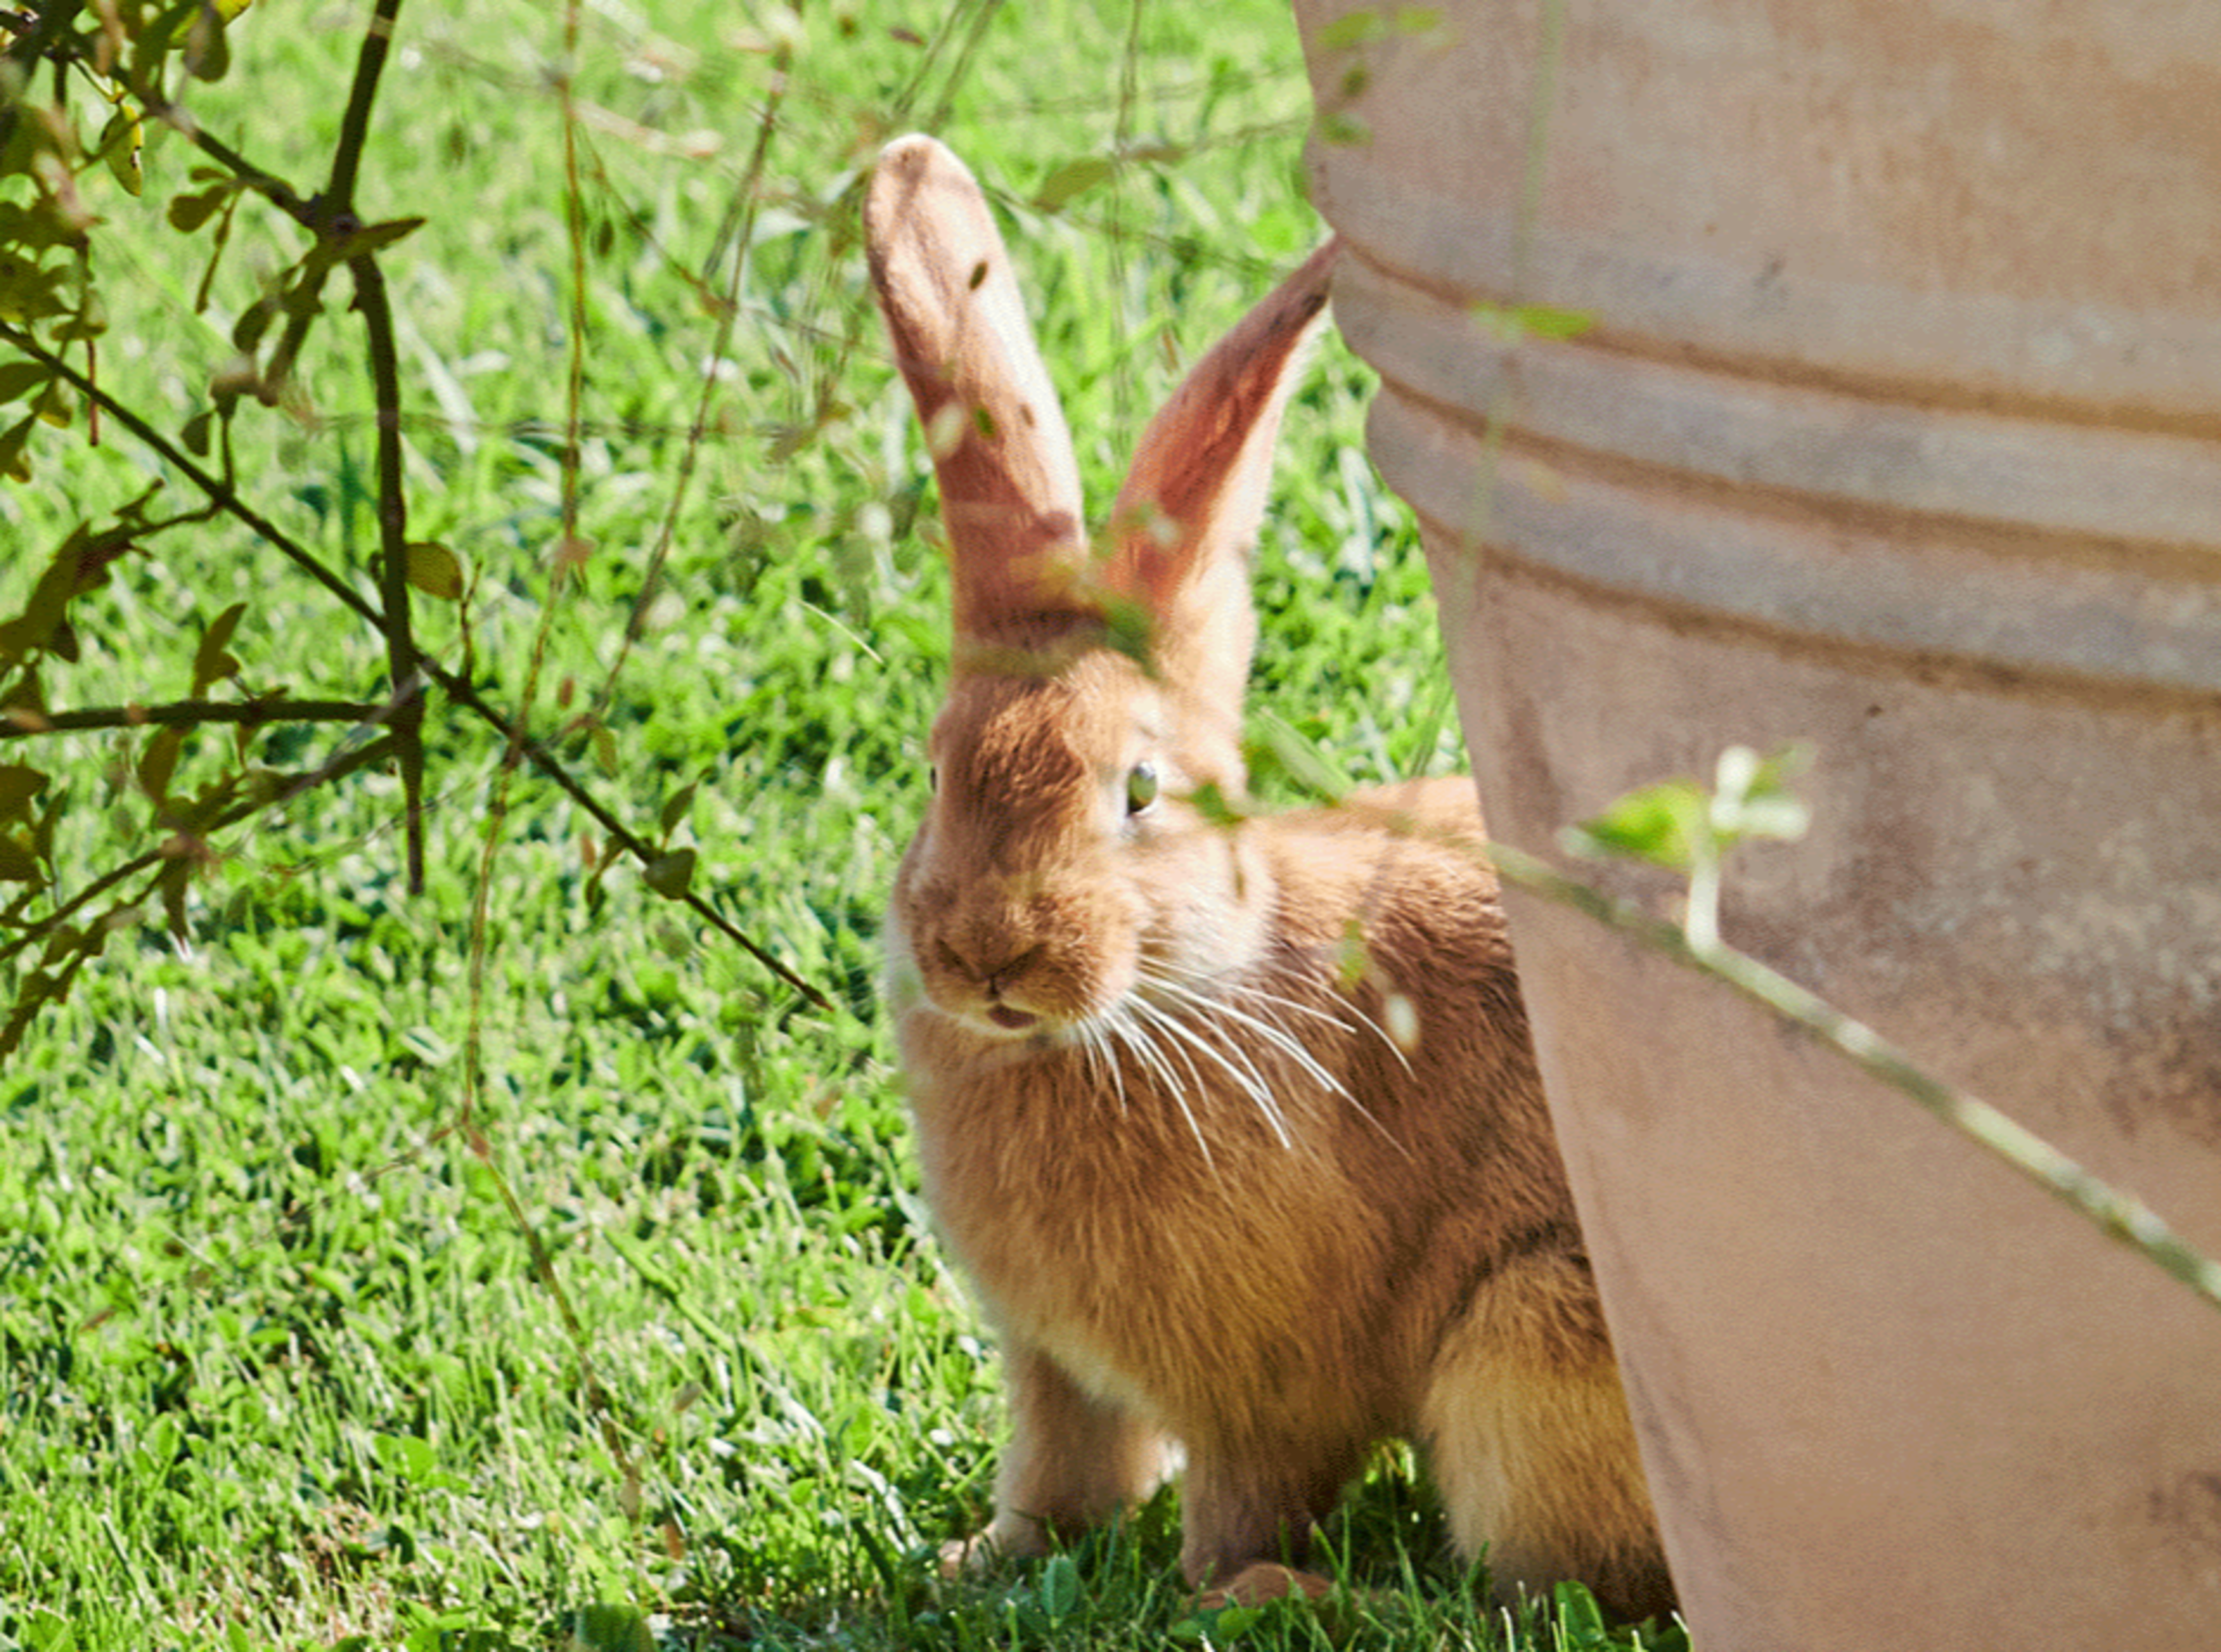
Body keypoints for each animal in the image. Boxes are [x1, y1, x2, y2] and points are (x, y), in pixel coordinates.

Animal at [865, 133, 1673, 1622]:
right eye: (937, 771)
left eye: (1139, 793)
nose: (991, 956)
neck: (1161, 999)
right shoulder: (1050, 1366)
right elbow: (1062, 1471)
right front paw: (983, 1563)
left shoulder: (1267, 1392)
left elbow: (1237, 1496)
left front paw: (1224, 1593)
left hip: (1531, 1347)